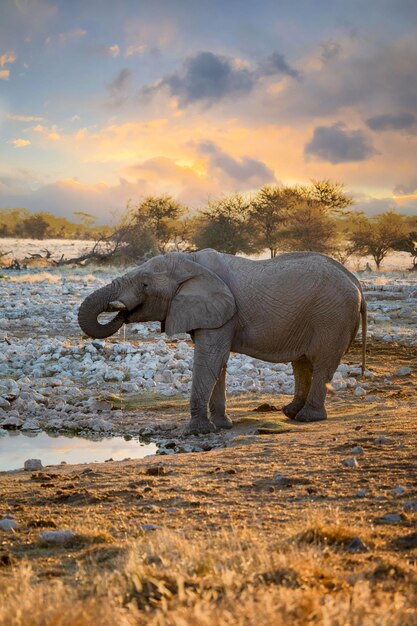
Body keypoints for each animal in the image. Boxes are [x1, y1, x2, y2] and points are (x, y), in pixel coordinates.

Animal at [76, 249, 366, 434]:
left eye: (145, 285)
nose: (121, 311)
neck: (190, 261)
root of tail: (356, 282)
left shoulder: (221, 313)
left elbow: (210, 359)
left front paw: (195, 432)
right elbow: (218, 362)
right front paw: (222, 425)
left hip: (332, 317)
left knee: (321, 363)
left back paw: (307, 418)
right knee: (302, 364)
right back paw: (290, 413)